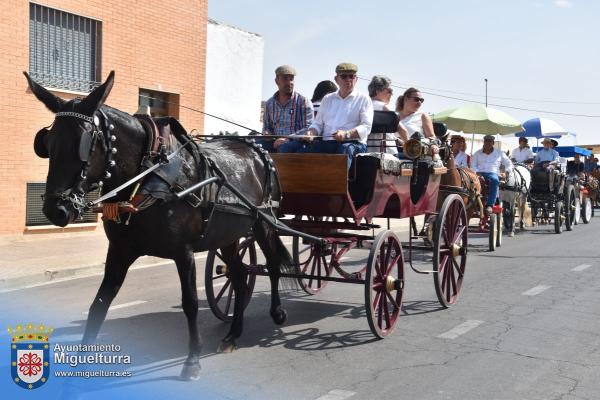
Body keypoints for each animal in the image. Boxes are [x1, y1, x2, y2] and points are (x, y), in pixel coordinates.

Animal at [24, 70, 292, 380]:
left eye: (84, 143)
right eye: (47, 143)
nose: (55, 209)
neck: (147, 177)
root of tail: (256, 147)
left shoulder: (183, 252)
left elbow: (190, 303)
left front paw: (192, 359)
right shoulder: (120, 251)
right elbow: (99, 305)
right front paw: (80, 366)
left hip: (263, 223)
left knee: (271, 264)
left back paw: (276, 312)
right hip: (227, 236)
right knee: (237, 275)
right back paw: (232, 334)